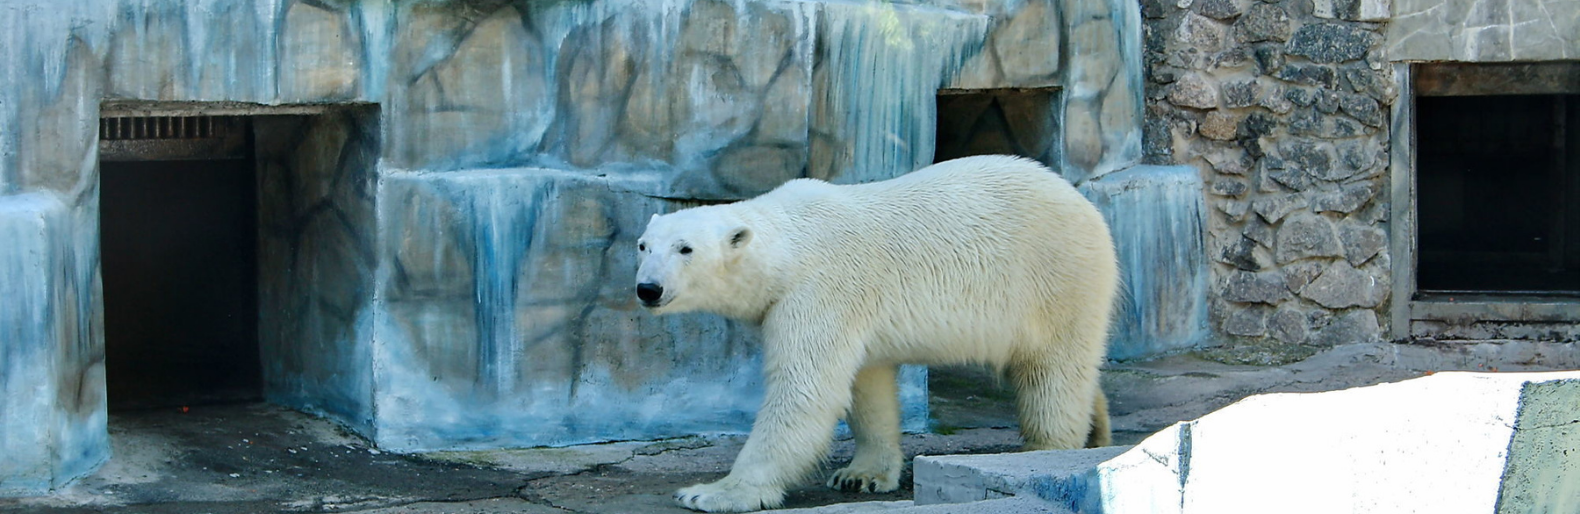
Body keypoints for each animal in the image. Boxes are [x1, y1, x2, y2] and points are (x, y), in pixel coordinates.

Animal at [635, 154, 1118, 509]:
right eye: (643, 245)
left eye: (685, 249)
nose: (647, 288)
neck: (789, 247)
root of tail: (1080, 200)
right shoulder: (852, 309)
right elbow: (866, 388)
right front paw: (860, 475)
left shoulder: (820, 290)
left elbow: (804, 389)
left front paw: (713, 493)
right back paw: (1097, 430)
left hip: (1054, 277)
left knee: (1052, 371)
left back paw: (1047, 448)